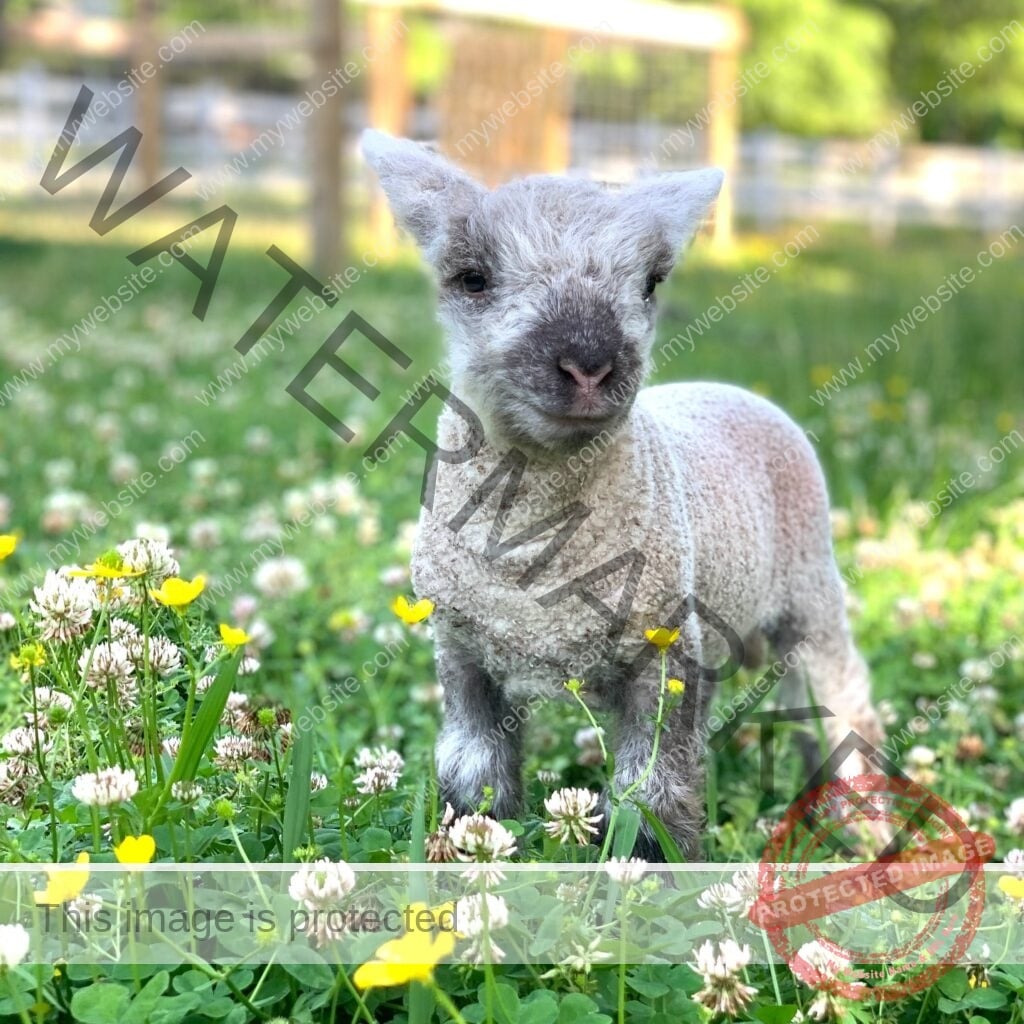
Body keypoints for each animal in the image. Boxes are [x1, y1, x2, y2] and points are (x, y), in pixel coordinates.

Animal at [361, 130, 884, 858]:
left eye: (649, 282)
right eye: (472, 277)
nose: (588, 365)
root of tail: (736, 391)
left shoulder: (659, 653)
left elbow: (654, 794)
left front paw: (652, 870)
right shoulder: (462, 652)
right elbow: (472, 774)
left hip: (809, 591)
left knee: (840, 697)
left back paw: (863, 828)